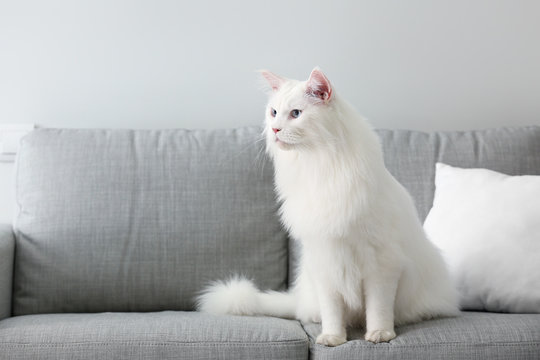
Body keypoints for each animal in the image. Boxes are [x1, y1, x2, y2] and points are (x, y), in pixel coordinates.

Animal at [196, 67, 458, 346]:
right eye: (274, 112)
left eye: (296, 114)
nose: (275, 129)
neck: (318, 165)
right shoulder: (325, 259)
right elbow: (332, 310)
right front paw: (333, 337)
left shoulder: (381, 264)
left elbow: (378, 308)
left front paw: (380, 334)